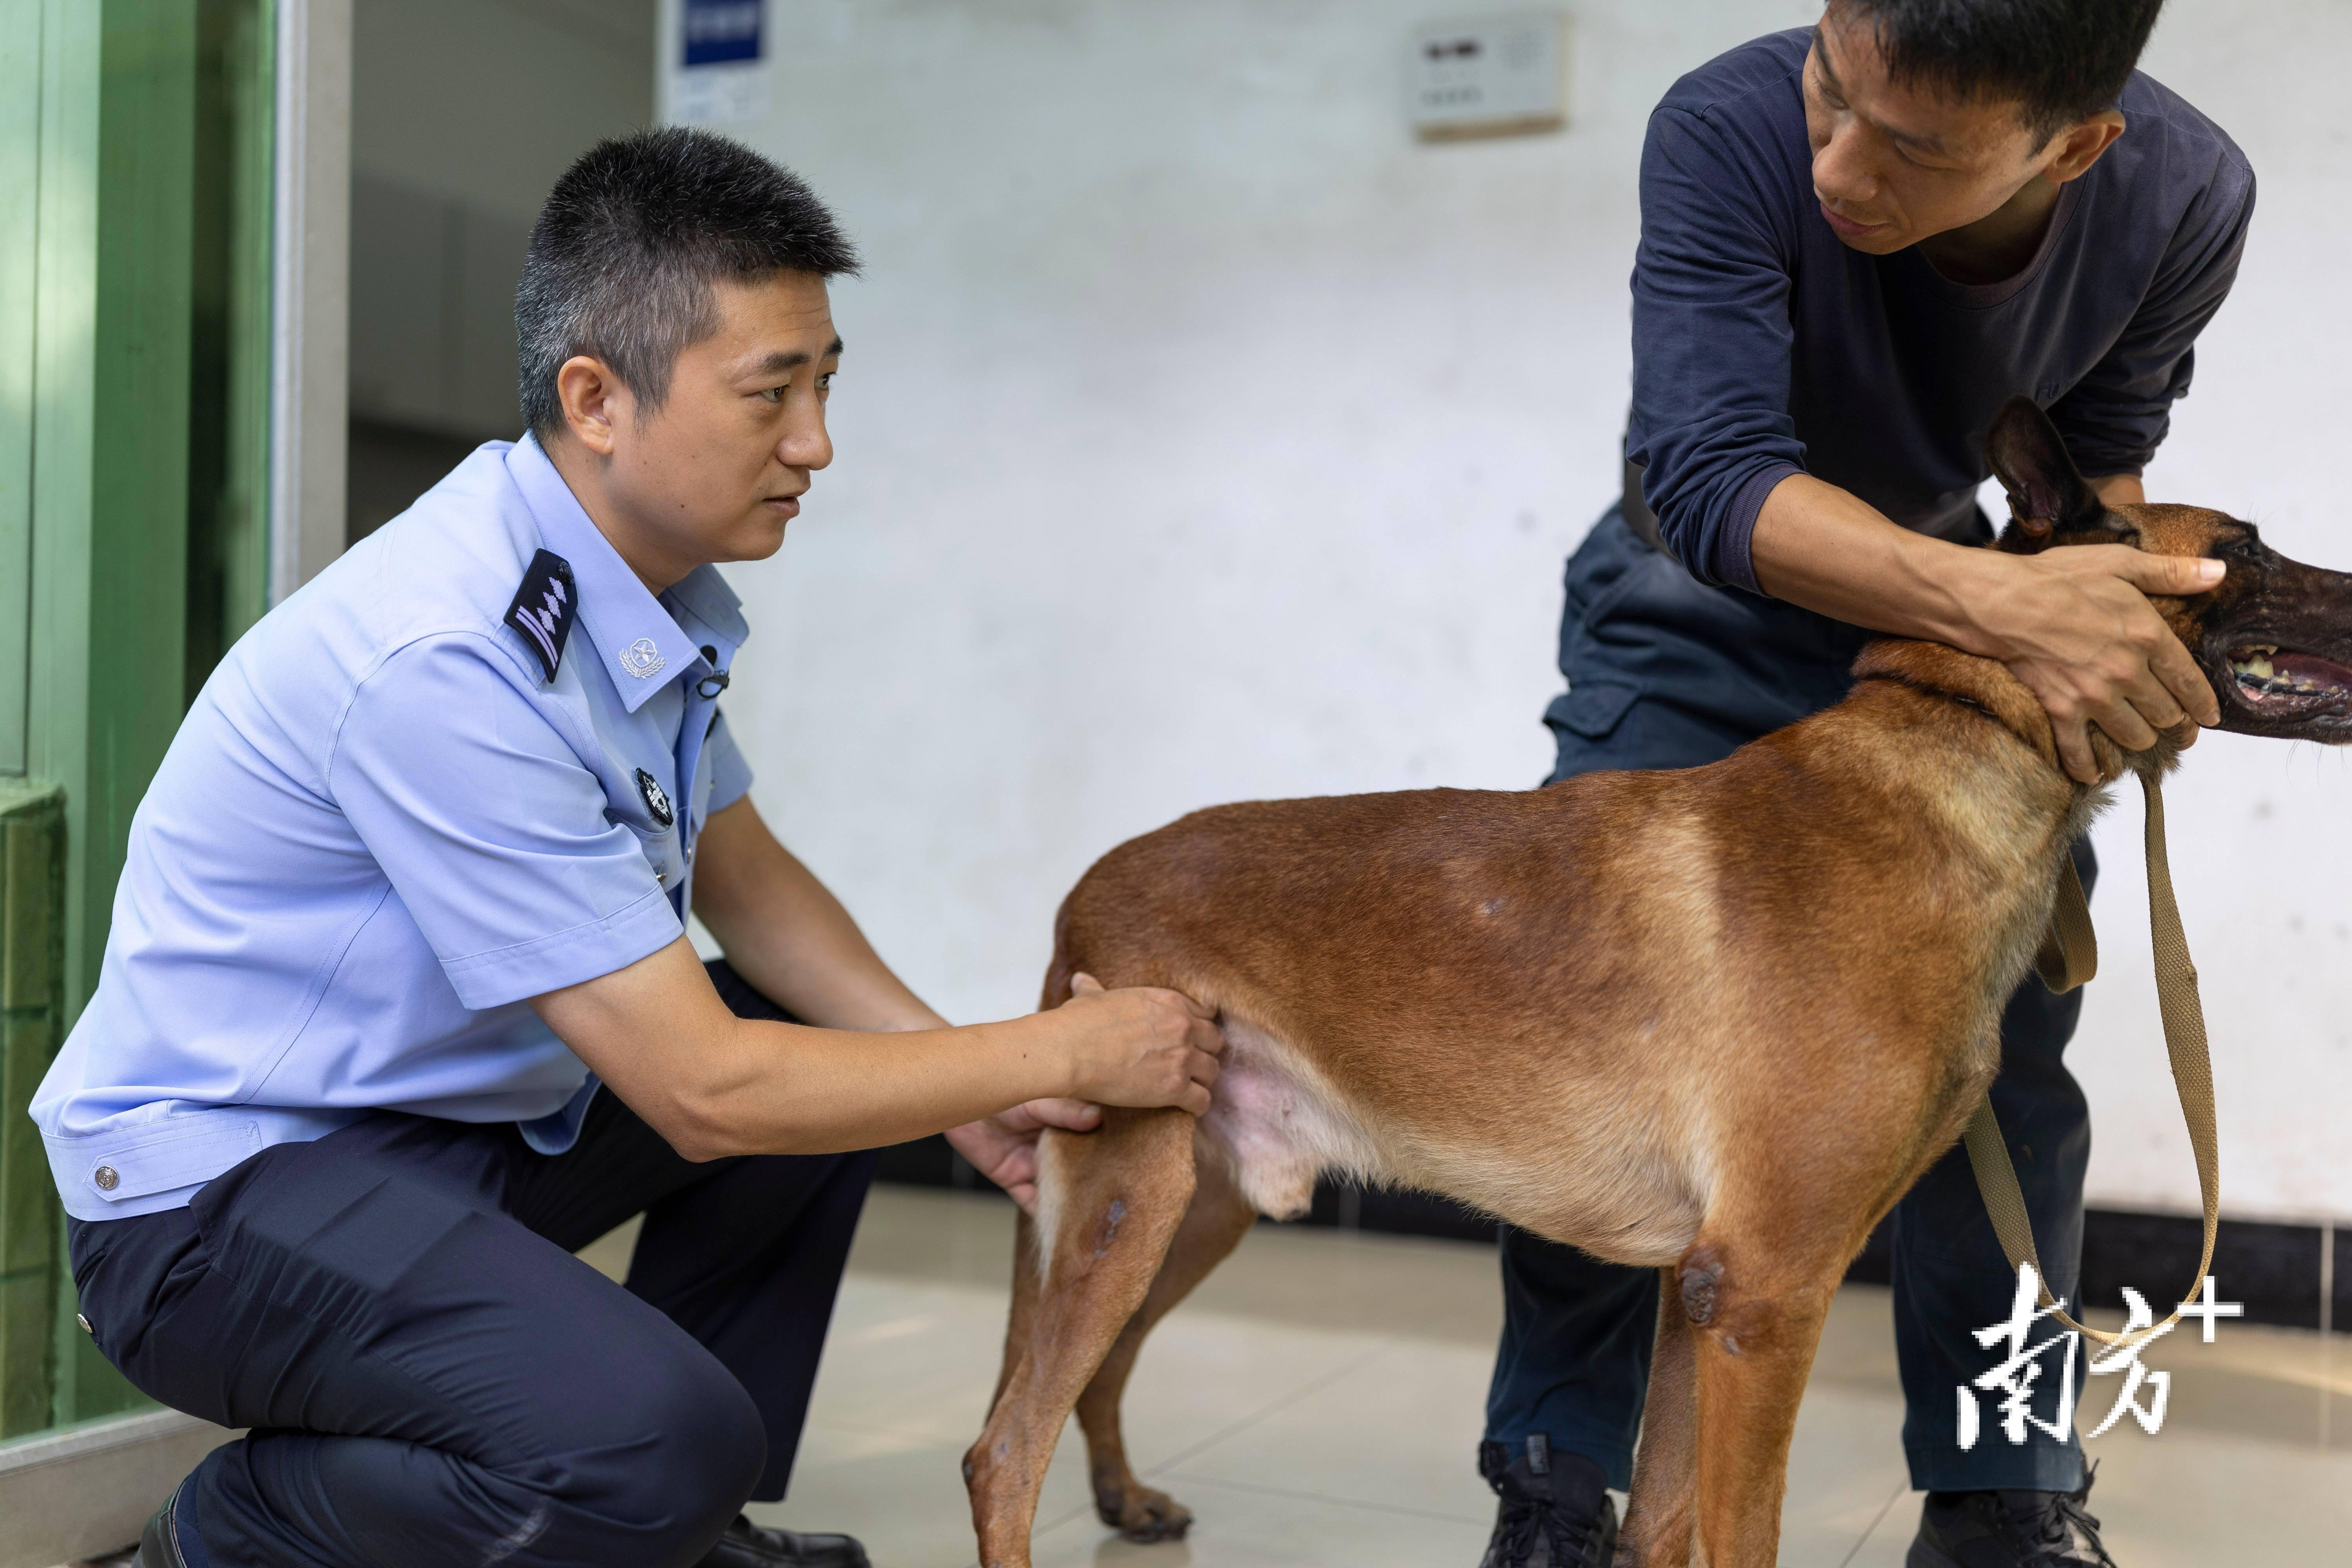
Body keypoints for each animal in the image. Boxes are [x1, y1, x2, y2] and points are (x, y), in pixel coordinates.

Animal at [955, 402, 2352, 1568]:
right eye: (2247, 553)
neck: (1961, 745)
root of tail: (1087, 886)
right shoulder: (1766, 1297)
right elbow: (1738, 1535)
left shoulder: (1703, 1302)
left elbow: (1669, 1524)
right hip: (1131, 1205)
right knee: (1002, 1446)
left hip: (1193, 1209)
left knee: (1080, 1386)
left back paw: (1127, 1498)